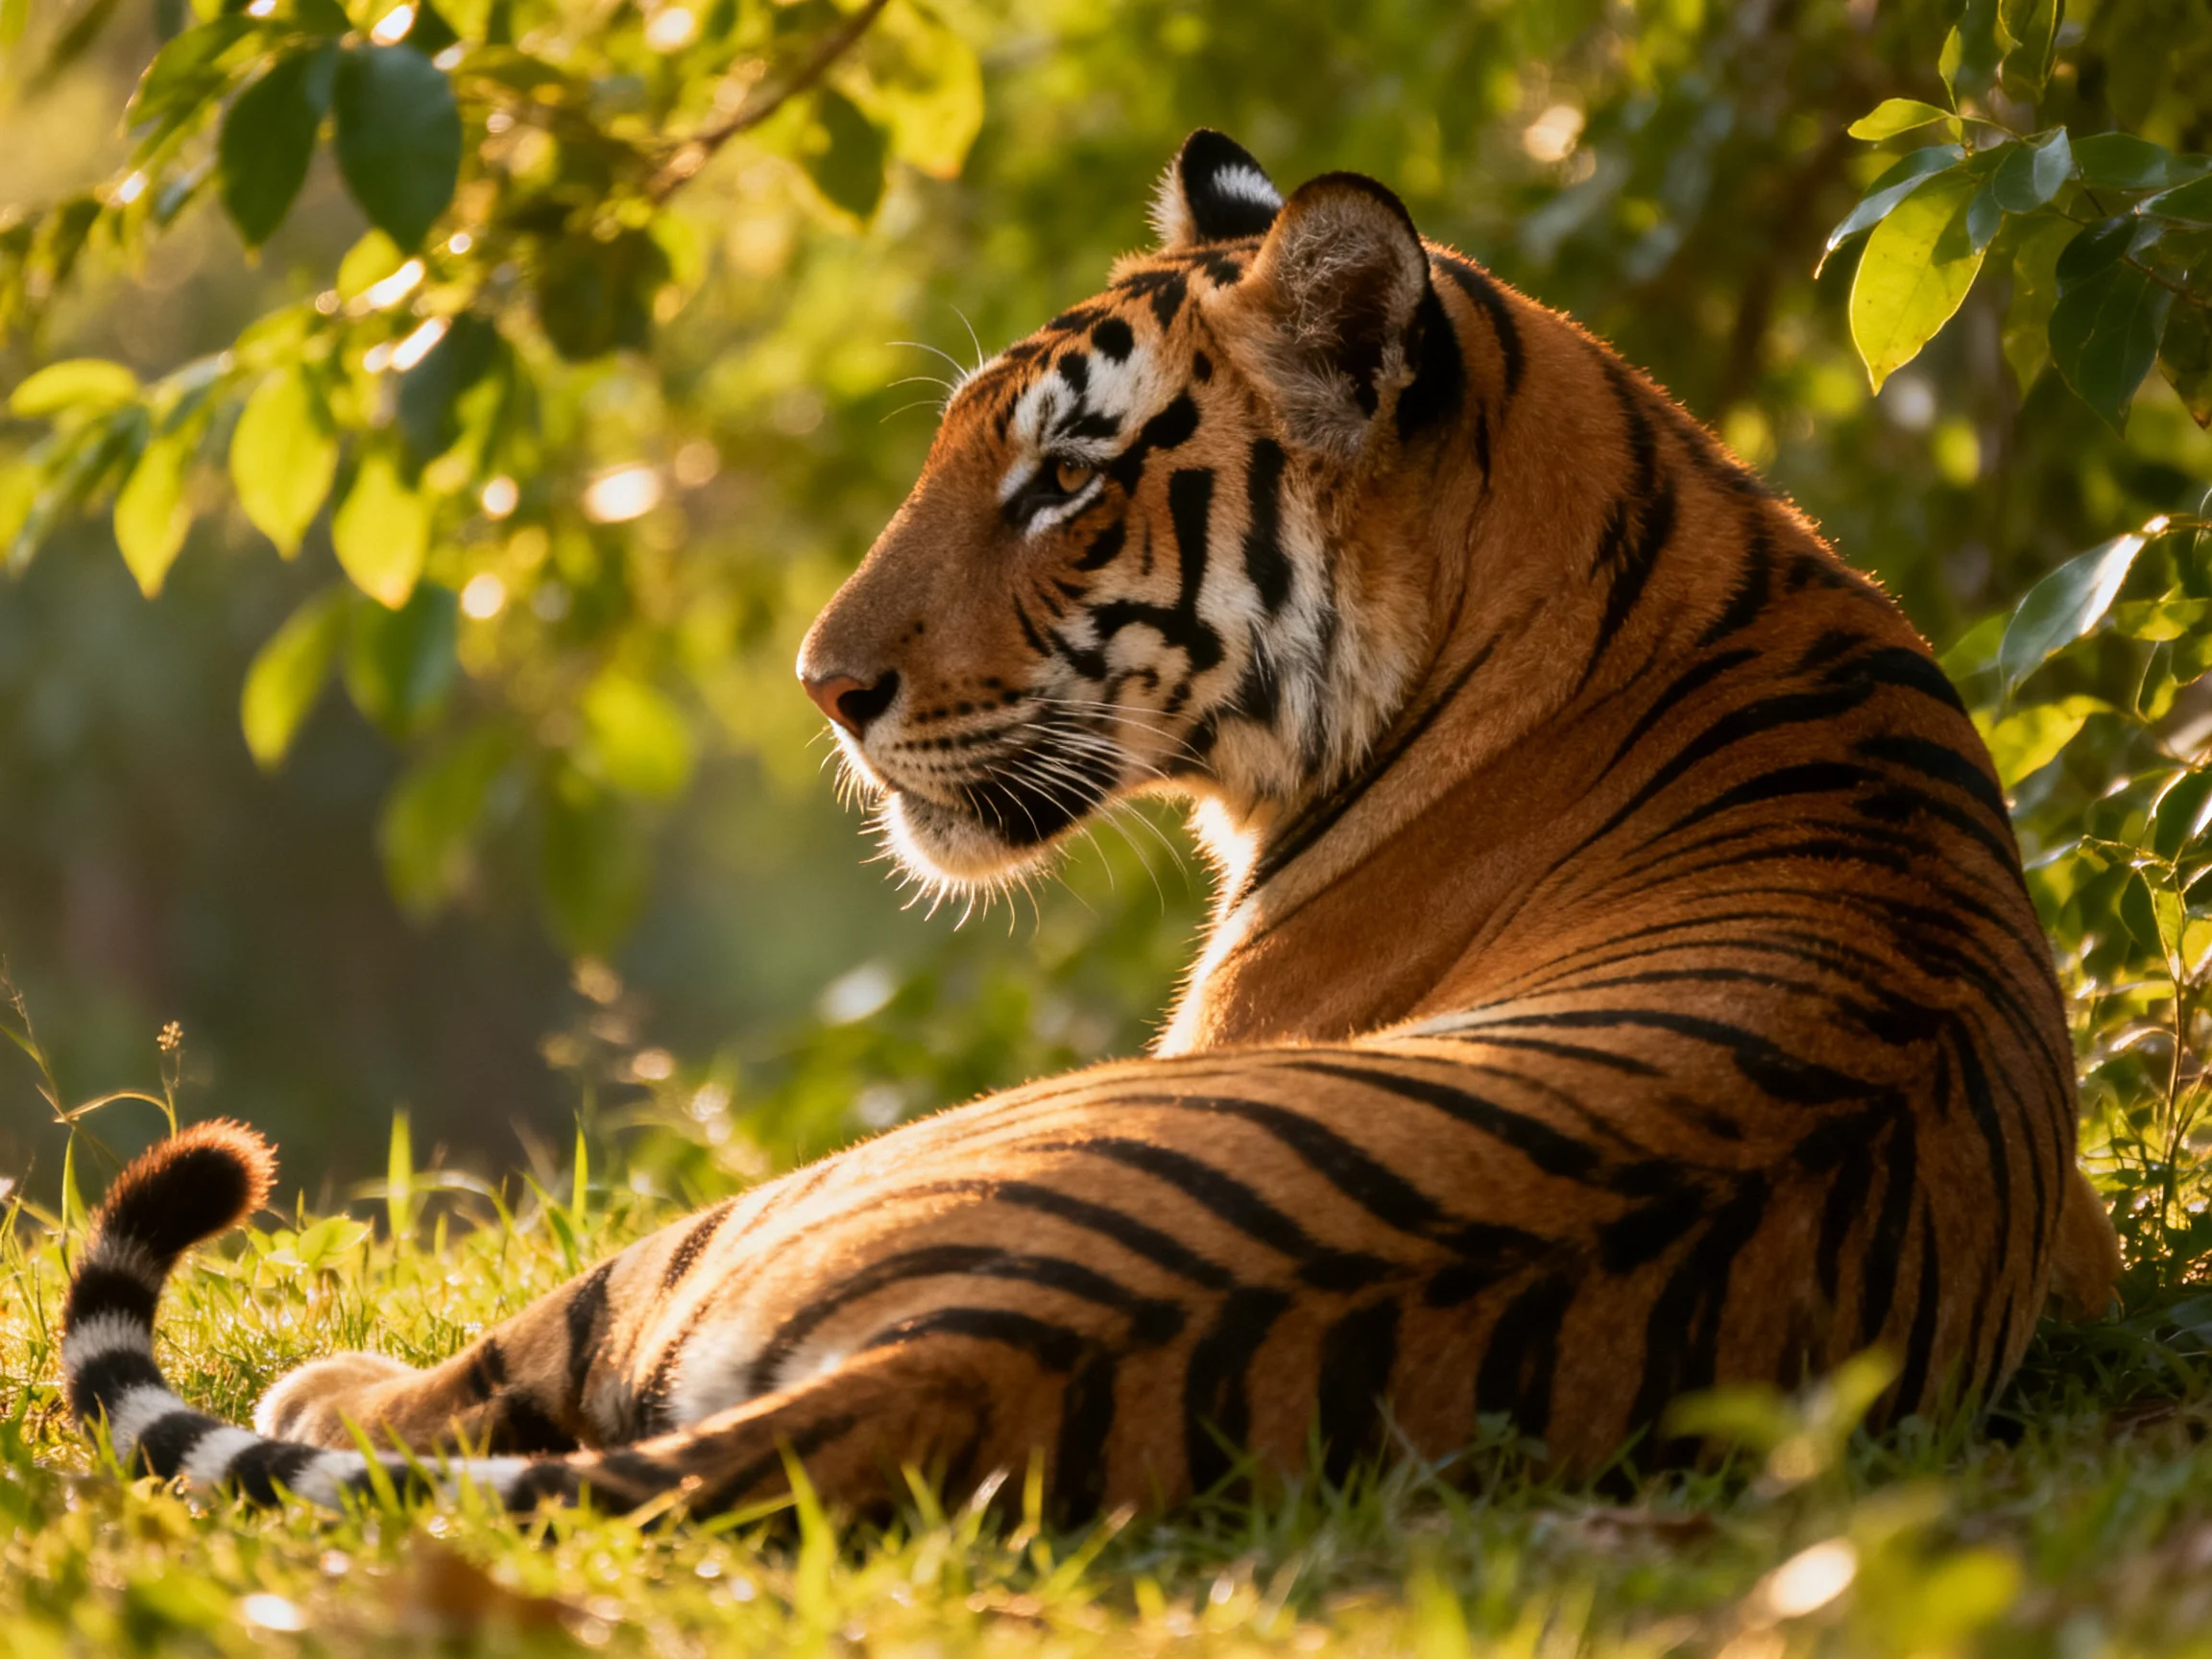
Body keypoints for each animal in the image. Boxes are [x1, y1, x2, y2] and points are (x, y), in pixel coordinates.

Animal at [62, 130, 2123, 1521]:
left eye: (1061, 482)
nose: (821, 683)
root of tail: (950, 1357)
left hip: (759, 1207)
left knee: (470, 1379)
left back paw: (332, 1382)